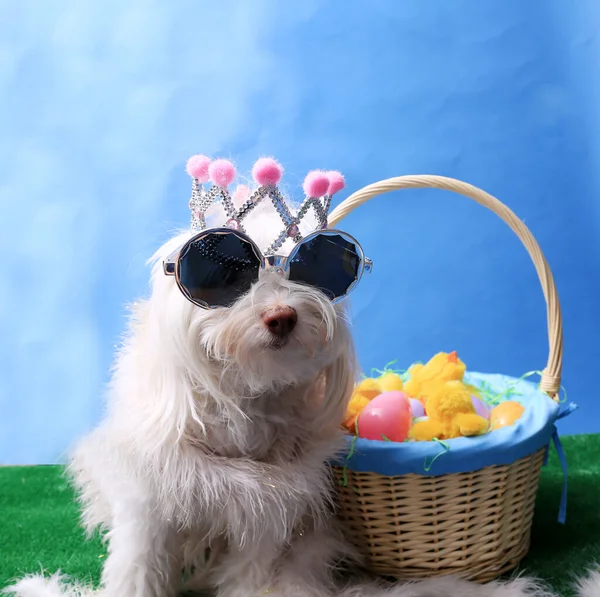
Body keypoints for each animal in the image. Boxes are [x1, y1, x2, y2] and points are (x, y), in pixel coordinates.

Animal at [7, 156, 596, 592]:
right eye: (224, 273)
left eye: (316, 268)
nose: (282, 315)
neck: (244, 402)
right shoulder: (153, 501)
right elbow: (137, 567)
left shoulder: (267, 514)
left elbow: (251, 576)